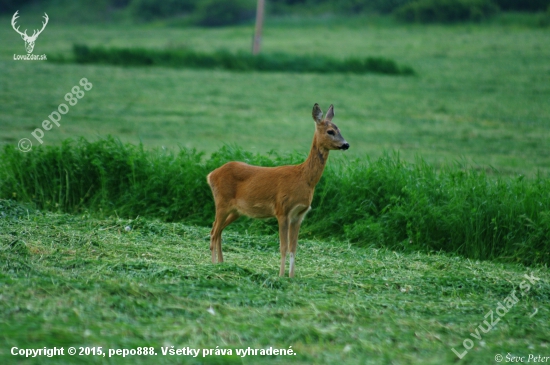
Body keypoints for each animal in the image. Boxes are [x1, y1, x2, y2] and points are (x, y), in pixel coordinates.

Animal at [207, 104, 350, 278]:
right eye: (330, 131)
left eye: (339, 129)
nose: (346, 144)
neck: (304, 178)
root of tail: (211, 175)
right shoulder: (282, 209)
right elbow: (283, 247)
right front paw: (281, 276)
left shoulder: (299, 215)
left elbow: (294, 248)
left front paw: (292, 277)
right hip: (222, 201)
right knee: (213, 231)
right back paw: (213, 265)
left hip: (236, 210)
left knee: (219, 230)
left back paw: (222, 264)